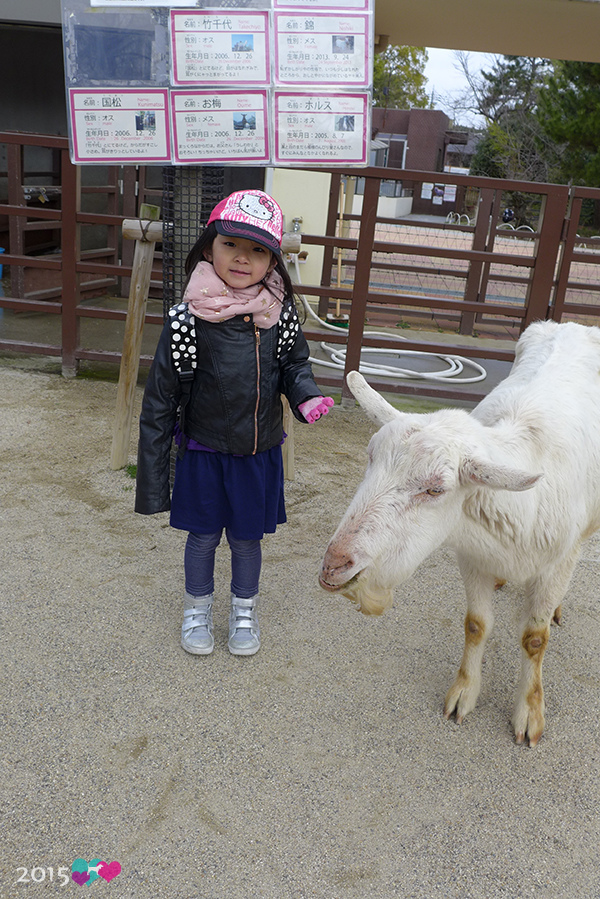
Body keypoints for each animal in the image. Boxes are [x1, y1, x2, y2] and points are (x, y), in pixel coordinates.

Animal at [324, 322, 600, 744]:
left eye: (435, 490)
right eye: (369, 457)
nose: (335, 564)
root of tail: (572, 325)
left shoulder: (558, 561)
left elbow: (534, 640)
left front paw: (529, 713)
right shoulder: (472, 557)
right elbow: (476, 624)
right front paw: (463, 694)